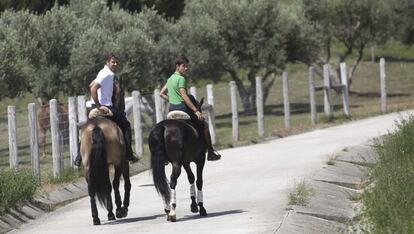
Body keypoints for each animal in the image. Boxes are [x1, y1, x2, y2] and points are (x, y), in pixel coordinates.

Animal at [77, 87, 129, 225]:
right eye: (122, 94)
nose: (124, 109)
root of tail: (97, 126)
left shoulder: (104, 165)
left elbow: (107, 186)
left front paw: (111, 212)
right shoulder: (123, 162)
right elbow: (123, 184)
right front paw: (121, 208)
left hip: (88, 167)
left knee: (91, 190)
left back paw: (96, 217)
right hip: (117, 163)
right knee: (115, 183)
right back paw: (117, 210)